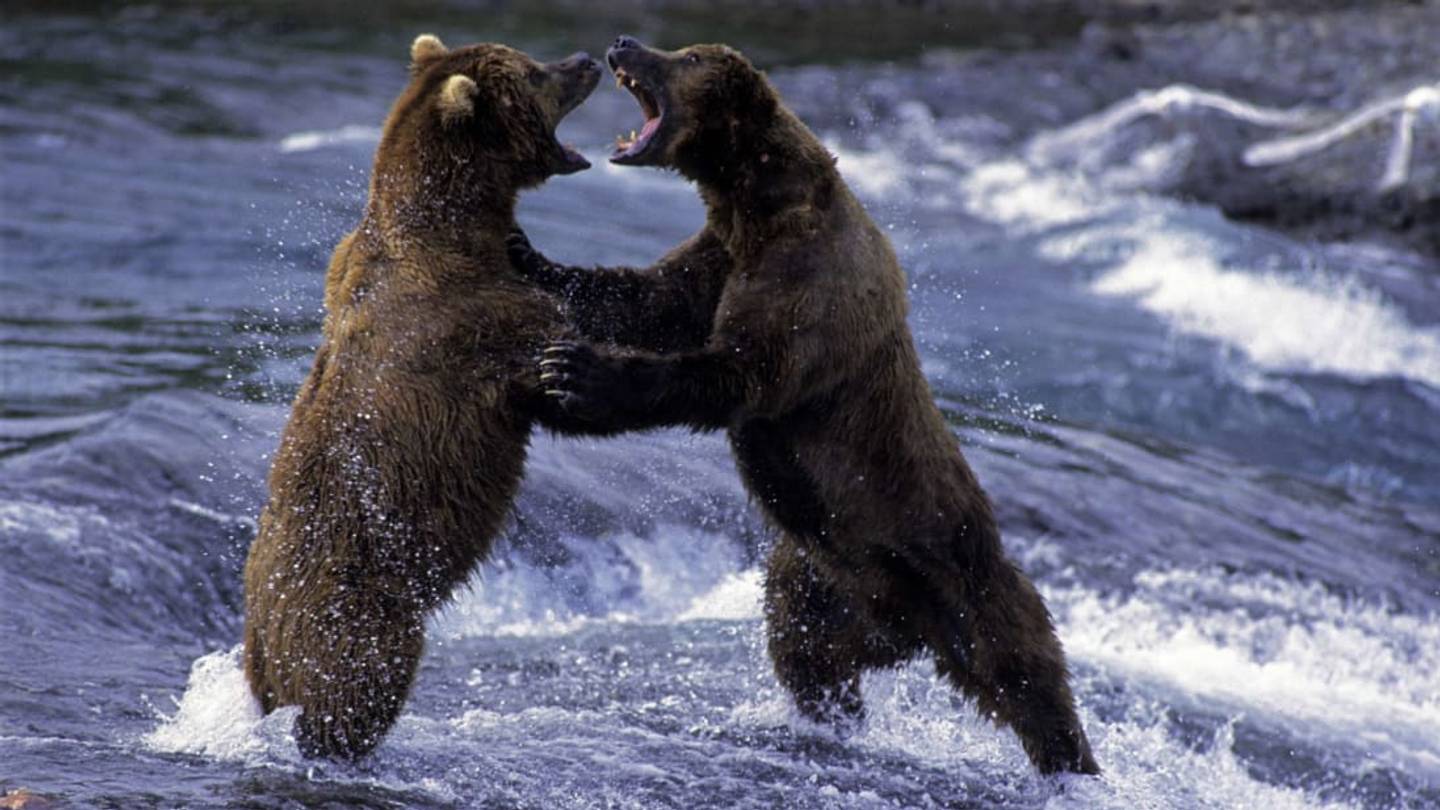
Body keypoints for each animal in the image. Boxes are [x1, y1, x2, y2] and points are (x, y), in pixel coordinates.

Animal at [241, 34, 601, 761]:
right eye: (536, 72)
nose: (587, 60)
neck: (453, 225)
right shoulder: (475, 323)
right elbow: (548, 377)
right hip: (356, 611)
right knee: (357, 686)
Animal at [506, 36, 1100, 775]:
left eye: (685, 56)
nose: (624, 43)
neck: (756, 201)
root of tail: (906, 635)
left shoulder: (808, 282)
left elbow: (739, 372)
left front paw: (579, 371)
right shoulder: (720, 258)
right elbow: (643, 299)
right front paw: (525, 252)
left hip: (961, 577)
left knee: (1028, 675)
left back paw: (1074, 763)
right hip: (818, 580)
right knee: (805, 651)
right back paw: (830, 720)